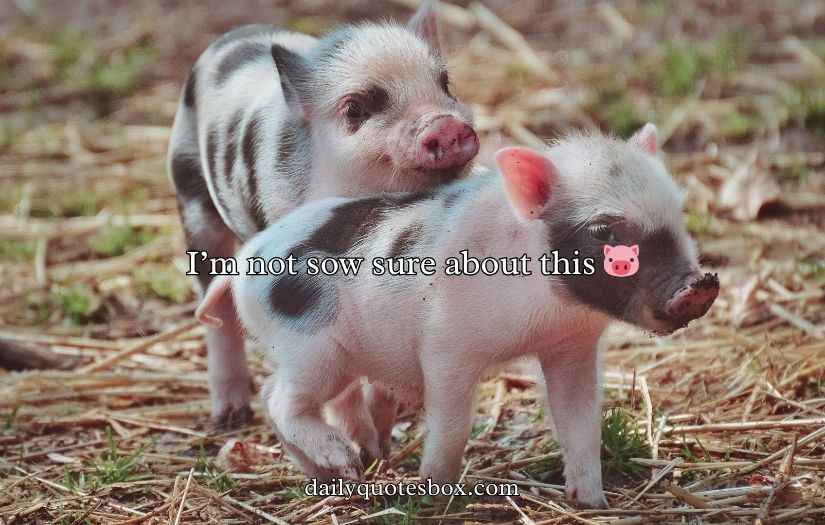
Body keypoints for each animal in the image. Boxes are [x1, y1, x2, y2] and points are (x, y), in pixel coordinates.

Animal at [166, 2, 479, 429]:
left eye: (445, 84)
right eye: (356, 108)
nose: (444, 124)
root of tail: (228, 37)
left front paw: (381, 428)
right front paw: (361, 441)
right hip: (191, 194)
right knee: (217, 308)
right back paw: (231, 418)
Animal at [195, 124, 719, 507]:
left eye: (678, 213)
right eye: (604, 231)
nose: (699, 286)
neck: (548, 310)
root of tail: (242, 263)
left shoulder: (572, 348)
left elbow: (580, 422)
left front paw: (591, 503)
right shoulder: (446, 347)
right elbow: (451, 423)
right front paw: (432, 495)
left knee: (281, 400)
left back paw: (335, 475)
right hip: (310, 348)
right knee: (279, 399)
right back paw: (342, 459)